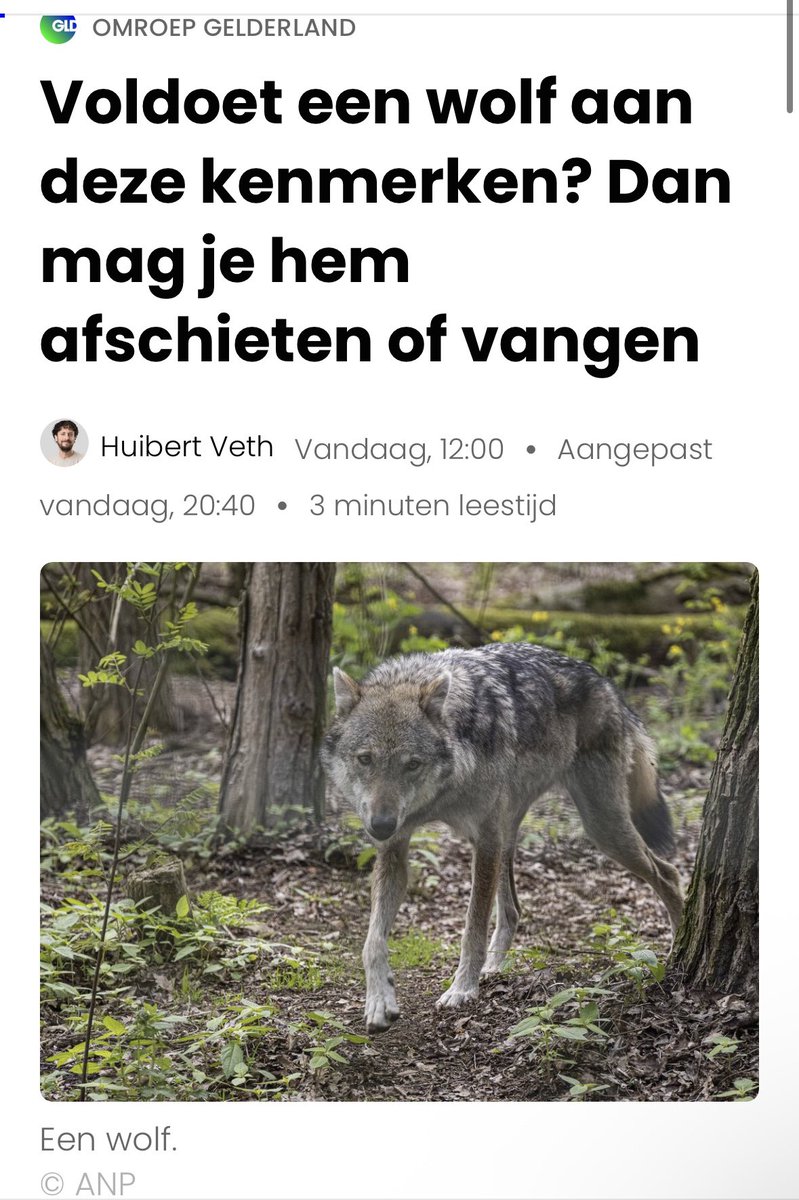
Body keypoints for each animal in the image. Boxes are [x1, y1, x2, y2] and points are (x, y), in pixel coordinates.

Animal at [322, 642, 683, 1033]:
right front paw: (379, 1001)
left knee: (669, 873)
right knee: (512, 909)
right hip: (513, 831)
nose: (381, 825)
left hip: (600, 829)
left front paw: (462, 989)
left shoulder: (485, 839)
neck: (442, 793)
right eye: (365, 759)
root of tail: (605, 682)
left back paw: (680, 942)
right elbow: (372, 941)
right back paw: (494, 968)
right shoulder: (396, 848)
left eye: (412, 764)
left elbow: (472, 927)